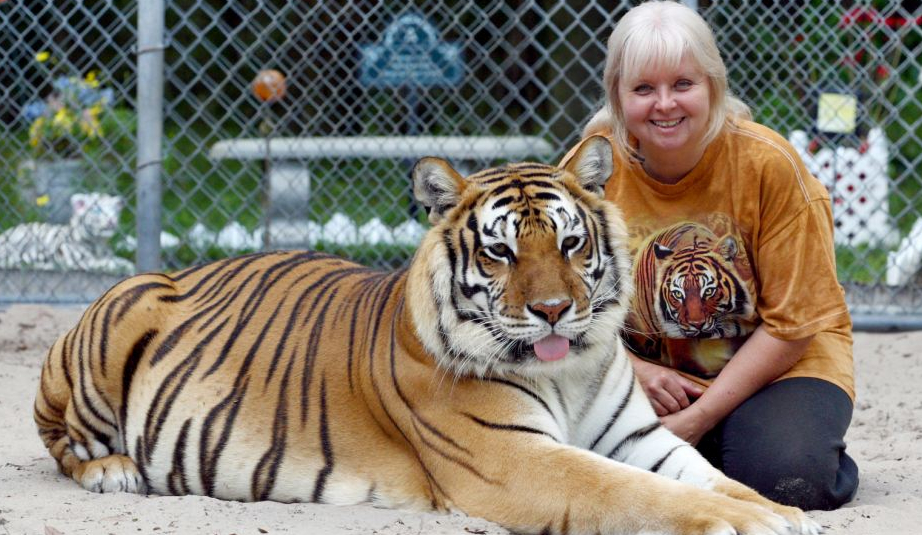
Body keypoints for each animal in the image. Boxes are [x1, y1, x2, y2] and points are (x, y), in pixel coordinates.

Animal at [32, 137, 816, 535]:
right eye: (501, 252)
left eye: (569, 242)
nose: (555, 311)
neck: (568, 368)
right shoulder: (516, 458)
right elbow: (641, 494)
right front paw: (755, 524)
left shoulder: (637, 437)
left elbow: (713, 477)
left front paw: (777, 510)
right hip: (117, 321)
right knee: (62, 442)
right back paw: (113, 470)